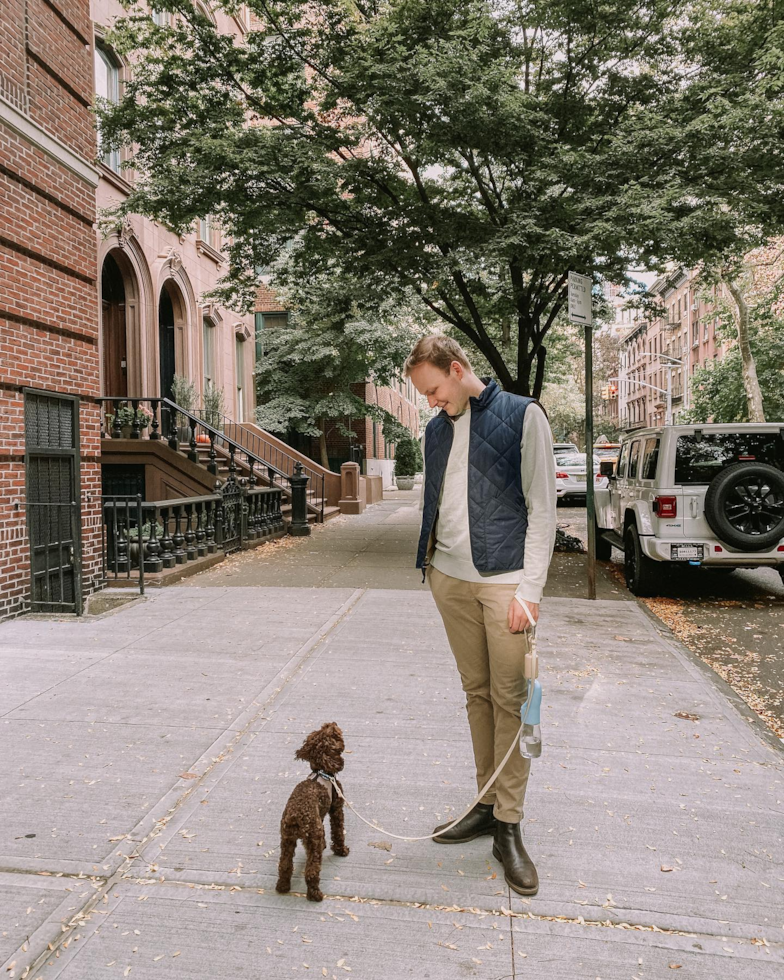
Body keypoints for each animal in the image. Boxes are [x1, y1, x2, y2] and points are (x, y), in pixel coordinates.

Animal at [276, 720, 350, 904]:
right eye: (333, 734)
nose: (332, 722)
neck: (321, 772)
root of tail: (296, 815)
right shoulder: (336, 808)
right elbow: (338, 832)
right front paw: (341, 850)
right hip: (311, 838)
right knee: (311, 871)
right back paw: (315, 894)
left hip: (287, 839)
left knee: (285, 865)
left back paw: (282, 887)